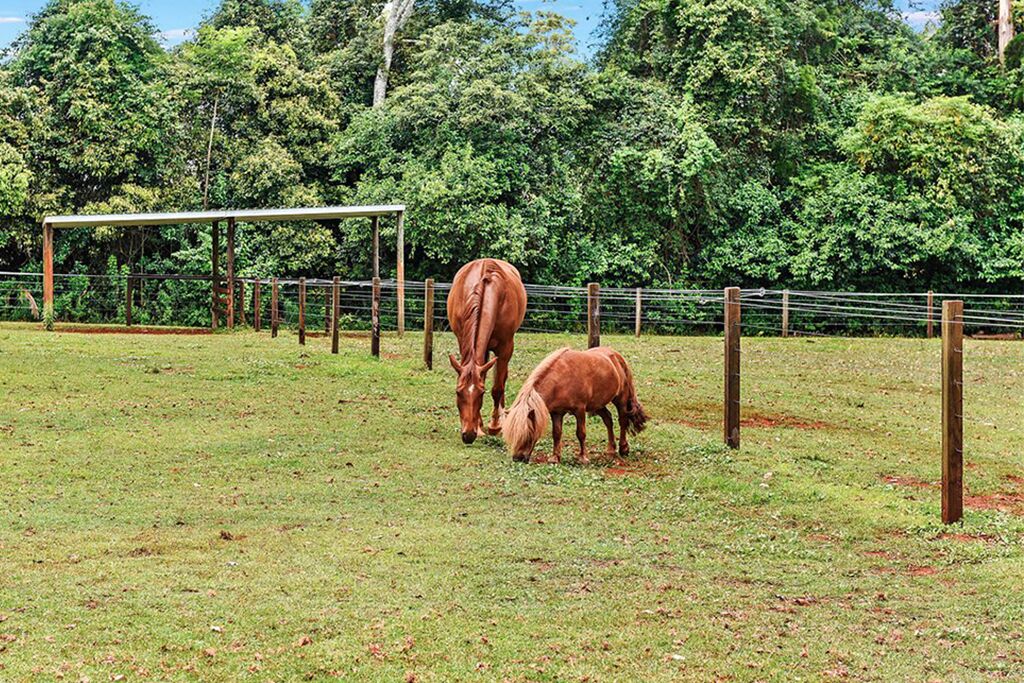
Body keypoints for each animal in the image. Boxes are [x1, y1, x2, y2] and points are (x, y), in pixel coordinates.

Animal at [448, 259, 528, 446]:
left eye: (481, 393)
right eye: (458, 392)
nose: (468, 435)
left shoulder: (506, 348)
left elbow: (498, 387)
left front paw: (495, 426)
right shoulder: (464, 342)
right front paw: (479, 427)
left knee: (502, 379)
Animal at [503, 348, 647, 464]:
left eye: (528, 434)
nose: (517, 458)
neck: (562, 379)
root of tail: (617, 357)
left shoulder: (580, 410)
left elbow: (581, 433)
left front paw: (583, 458)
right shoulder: (556, 413)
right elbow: (556, 433)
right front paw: (555, 457)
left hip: (620, 399)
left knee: (622, 421)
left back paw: (623, 449)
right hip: (597, 405)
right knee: (608, 419)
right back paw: (611, 450)